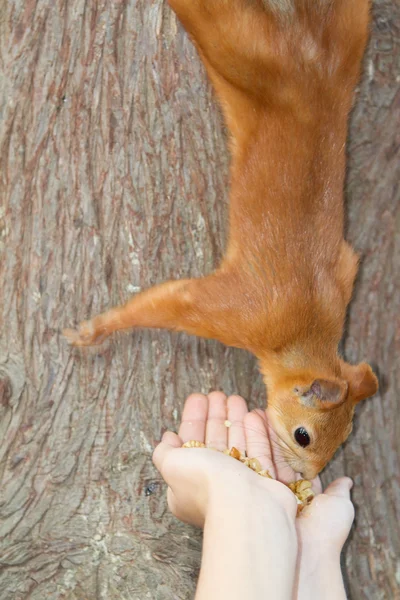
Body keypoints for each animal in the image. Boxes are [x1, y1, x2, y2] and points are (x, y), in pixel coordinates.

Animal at [63, 0, 378, 478]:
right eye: (303, 436)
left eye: (343, 440)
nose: (308, 477)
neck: (305, 329)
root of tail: (311, 60)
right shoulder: (237, 310)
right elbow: (166, 304)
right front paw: (96, 330)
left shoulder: (344, 273)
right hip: (236, 44)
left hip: (350, 30)